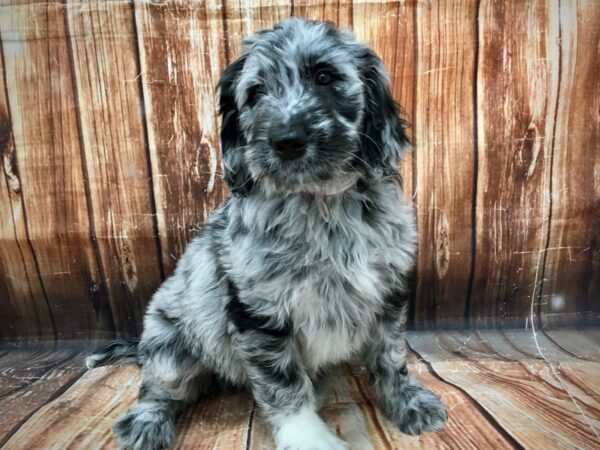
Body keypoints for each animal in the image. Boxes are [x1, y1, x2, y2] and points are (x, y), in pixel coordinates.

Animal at [86, 17, 448, 450]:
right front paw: (310, 438)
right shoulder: (259, 311)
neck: (318, 202)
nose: (286, 141)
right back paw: (146, 422)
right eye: (256, 92)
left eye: (324, 77)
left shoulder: (388, 291)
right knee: (159, 389)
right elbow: (283, 384)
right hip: (169, 348)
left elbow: (390, 356)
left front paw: (408, 401)